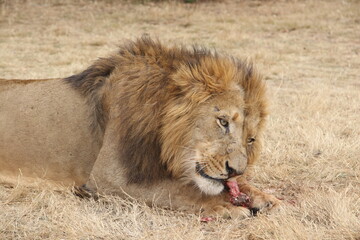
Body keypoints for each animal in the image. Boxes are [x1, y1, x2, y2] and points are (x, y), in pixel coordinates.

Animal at [0, 36, 280, 218]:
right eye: (223, 121)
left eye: (251, 139)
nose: (235, 170)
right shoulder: (108, 178)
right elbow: (174, 190)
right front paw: (223, 206)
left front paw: (263, 197)